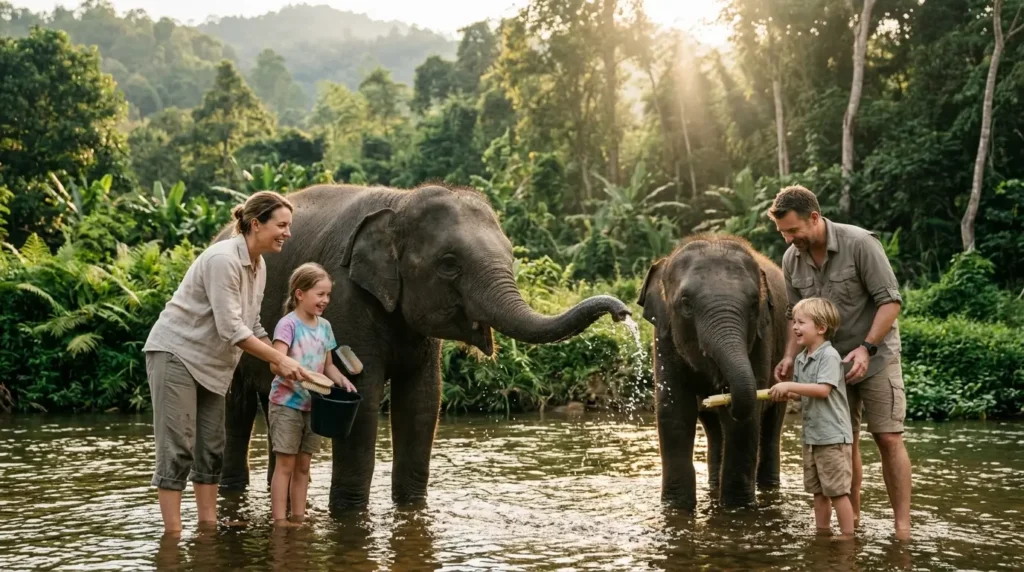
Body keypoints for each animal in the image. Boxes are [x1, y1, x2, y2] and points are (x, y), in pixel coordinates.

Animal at [215, 183, 631, 512]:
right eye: (448, 264)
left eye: (512, 256)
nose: (622, 312)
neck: (400, 202)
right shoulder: (345, 298)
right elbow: (364, 399)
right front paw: (350, 513)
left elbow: (422, 402)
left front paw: (412, 508)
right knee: (236, 407)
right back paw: (232, 489)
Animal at [636, 233, 788, 510]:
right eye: (686, 304)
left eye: (754, 304)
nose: (719, 390)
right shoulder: (663, 336)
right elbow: (674, 411)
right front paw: (676, 508)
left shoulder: (764, 335)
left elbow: (746, 417)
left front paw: (737, 509)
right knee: (715, 429)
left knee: (771, 424)